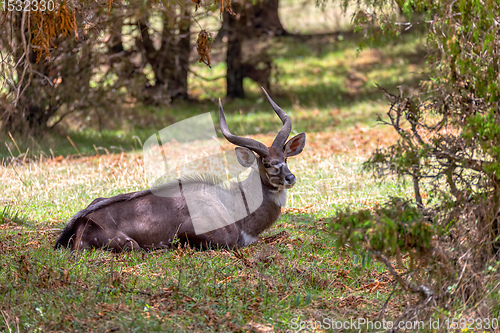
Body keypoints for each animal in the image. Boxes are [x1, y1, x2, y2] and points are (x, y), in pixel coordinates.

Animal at [54, 87, 304, 250]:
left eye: (285, 158)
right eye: (266, 163)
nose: (290, 178)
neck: (233, 204)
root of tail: (79, 223)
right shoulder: (197, 233)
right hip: (129, 244)